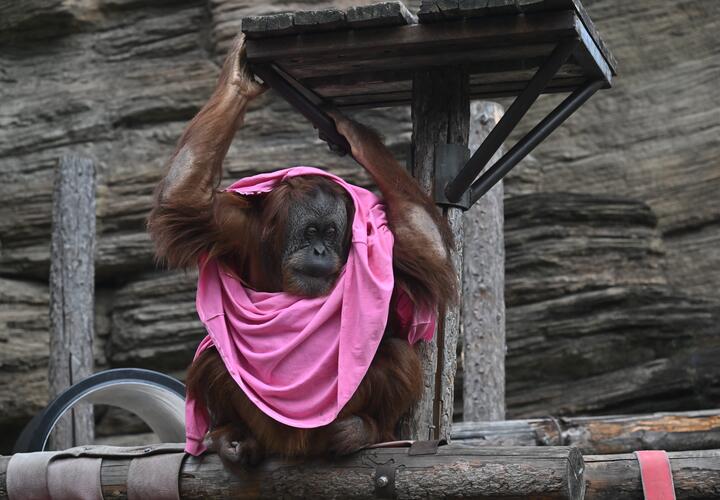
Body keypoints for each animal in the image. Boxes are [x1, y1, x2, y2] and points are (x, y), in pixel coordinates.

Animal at [147, 34, 456, 464]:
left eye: (330, 233)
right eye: (310, 232)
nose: (321, 252)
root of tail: (292, 446)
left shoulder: (387, 245)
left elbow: (428, 252)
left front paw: (359, 137)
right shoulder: (235, 226)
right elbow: (185, 201)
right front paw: (239, 79)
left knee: (395, 351)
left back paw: (363, 432)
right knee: (213, 356)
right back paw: (233, 437)